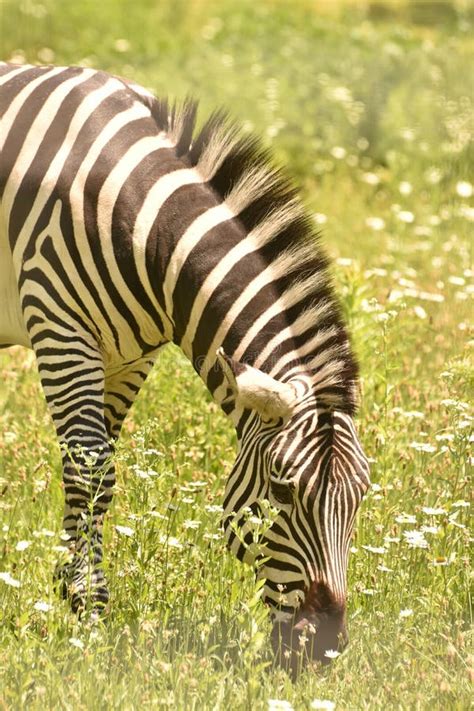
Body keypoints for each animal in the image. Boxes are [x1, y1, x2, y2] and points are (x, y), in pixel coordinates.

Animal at [0, 64, 370, 676]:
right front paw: (89, 608)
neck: (144, 223)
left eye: (361, 497)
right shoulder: (60, 327)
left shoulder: (131, 354)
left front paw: (68, 589)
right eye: (283, 489)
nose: (322, 651)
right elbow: (90, 470)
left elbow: (97, 470)